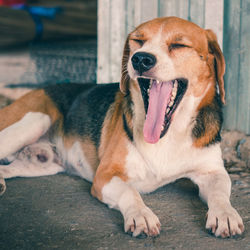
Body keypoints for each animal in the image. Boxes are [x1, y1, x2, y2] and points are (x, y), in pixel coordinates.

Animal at [0, 17, 244, 238]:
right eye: (138, 41)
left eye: (178, 45)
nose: (141, 59)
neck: (169, 134)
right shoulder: (105, 176)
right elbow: (130, 192)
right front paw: (141, 215)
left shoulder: (212, 171)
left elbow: (221, 192)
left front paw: (225, 214)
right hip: (36, 120)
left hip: (44, 163)